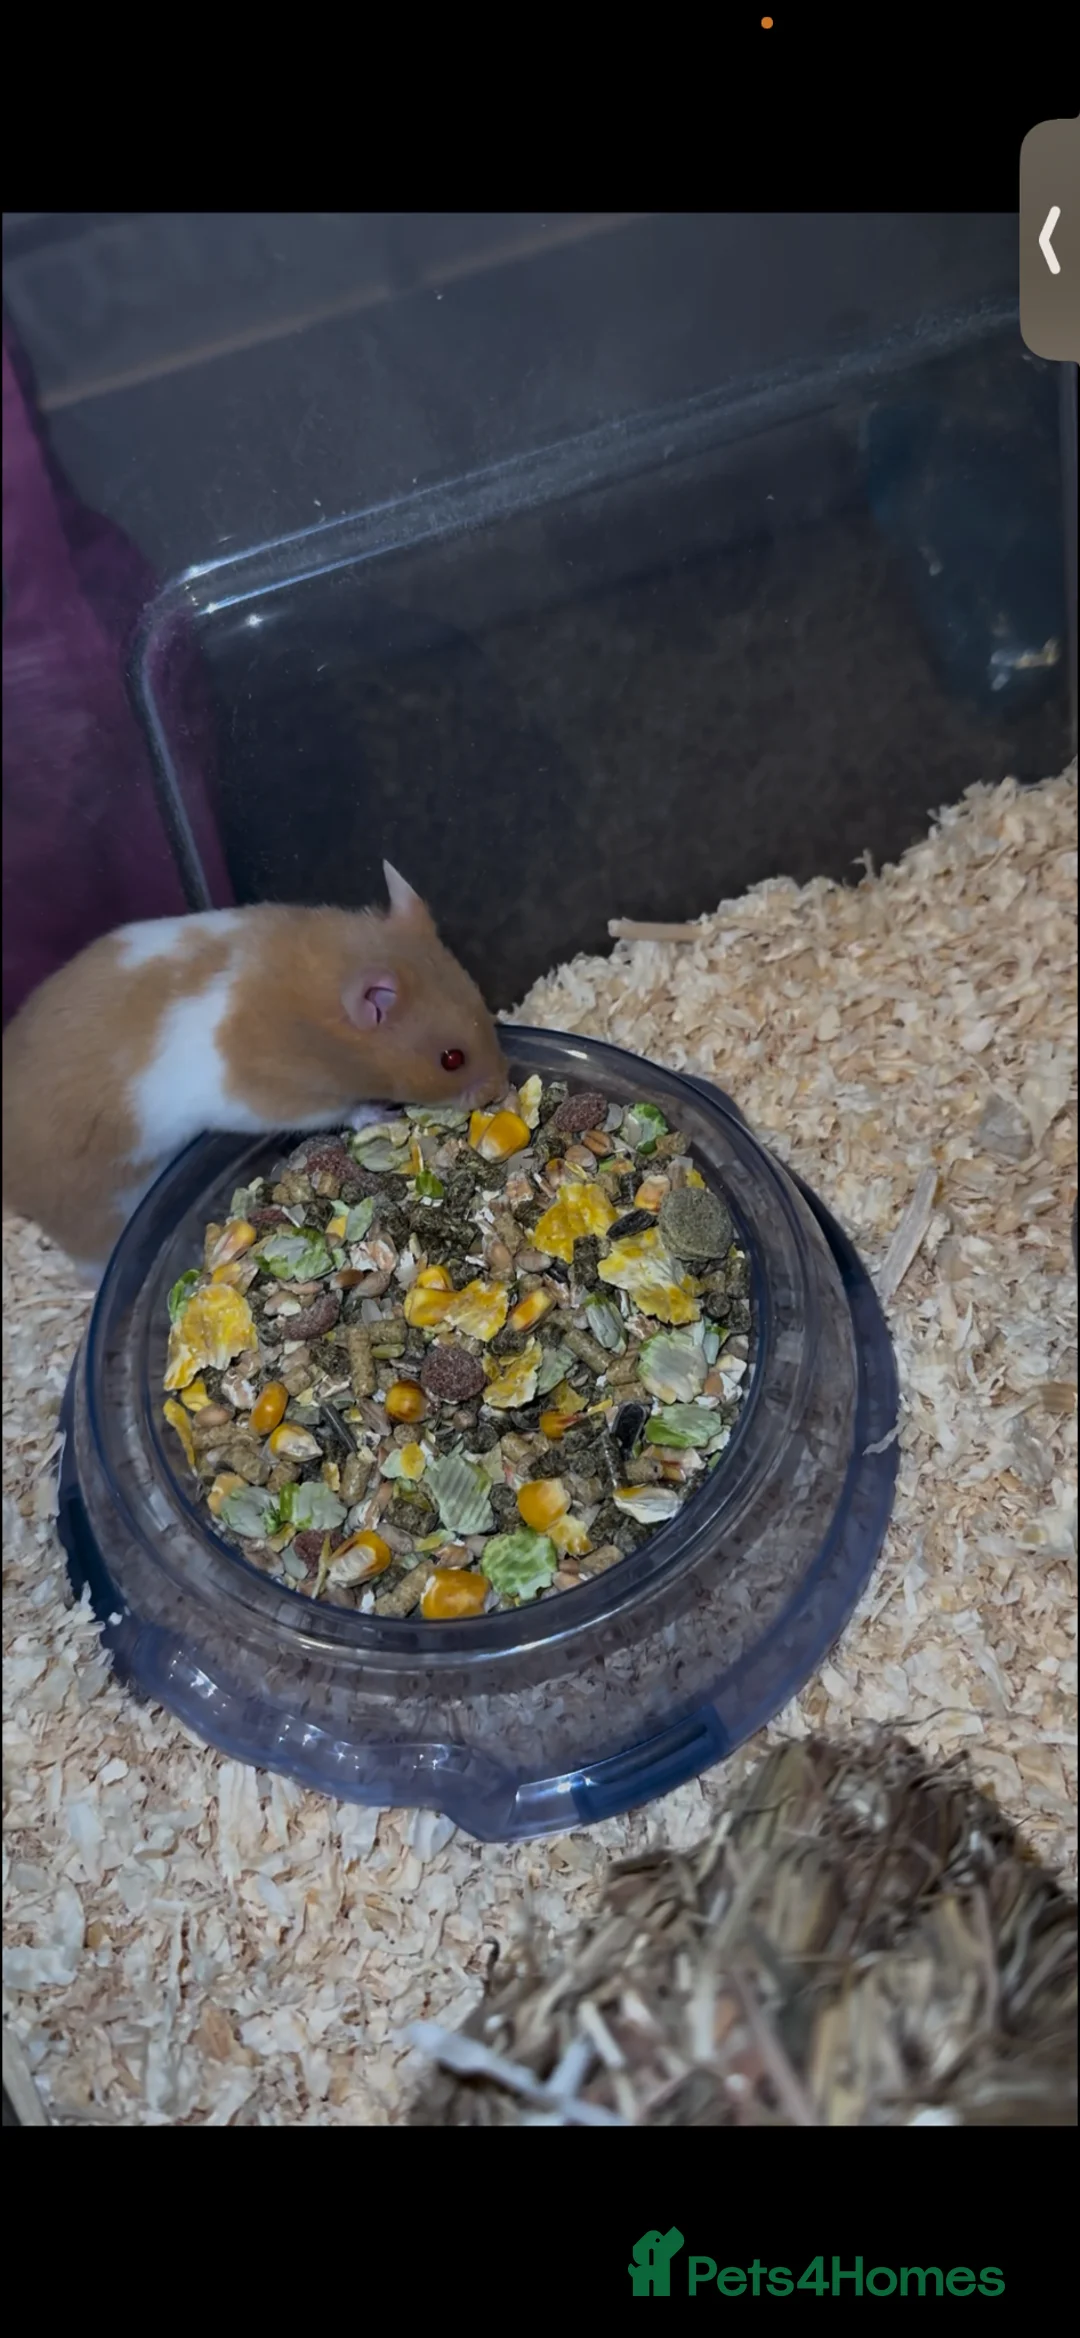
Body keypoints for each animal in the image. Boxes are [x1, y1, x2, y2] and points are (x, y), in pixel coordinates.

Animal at [2, 862, 508, 1281]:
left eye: (484, 1006)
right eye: (451, 1059)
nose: (500, 1090)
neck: (313, 1018)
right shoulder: (277, 1097)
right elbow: (345, 1110)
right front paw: (381, 1114)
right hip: (98, 1206)